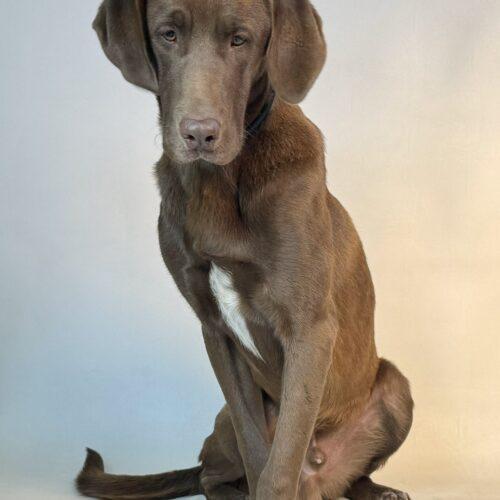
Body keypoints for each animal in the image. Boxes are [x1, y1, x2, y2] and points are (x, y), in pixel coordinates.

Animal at [77, 0, 414, 500]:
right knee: (210, 474)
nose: (199, 133)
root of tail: (321, 477)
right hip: (221, 426)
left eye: (240, 40)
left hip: (395, 388)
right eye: (168, 34)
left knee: (351, 473)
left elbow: (280, 463)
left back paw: (380, 491)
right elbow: (258, 452)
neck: (219, 181)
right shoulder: (216, 332)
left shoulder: (310, 328)